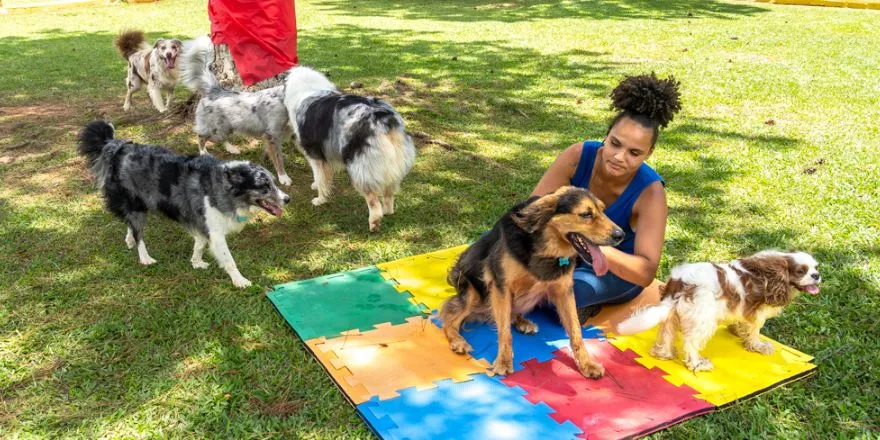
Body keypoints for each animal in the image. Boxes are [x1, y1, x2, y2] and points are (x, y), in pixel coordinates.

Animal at [76, 120, 288, 288]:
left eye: (274, 182)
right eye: (263, 186)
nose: (287, 199)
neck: (225, 187)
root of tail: (118, 146)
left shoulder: (202, 224)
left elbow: (200, 245)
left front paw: (196, 262)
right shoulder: (215, 231)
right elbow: (229, 260)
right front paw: (240, 280)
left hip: (138, 205)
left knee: (129, 223)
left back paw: (129, 240)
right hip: (135, 204)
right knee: (138, 232)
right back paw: (144, 257)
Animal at [179, 35, 292, 184]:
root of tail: (215, 90)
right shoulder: (272, 135)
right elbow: (279, 158)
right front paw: (283, 177)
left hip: (226, 127)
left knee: (220, 138)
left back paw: (231, 148)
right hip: (216, 129)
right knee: (201, 137)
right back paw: (204, 152)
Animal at [284, 66, 418, 230]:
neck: (308, 88)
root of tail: (384, 119)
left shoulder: (314, 153)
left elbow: (319, 176)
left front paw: (320, 199)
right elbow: (322, 176)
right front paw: (316, 186)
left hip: (362, 167)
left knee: (373, 201)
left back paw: (374, 222)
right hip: (392, 164)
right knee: (388, 193)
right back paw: (388, 211)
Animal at [440, 186, 624, 378]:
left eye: (603, 210)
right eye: (586, 214)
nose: (621, 235)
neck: (544, 247)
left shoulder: (564, 291)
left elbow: (576, 331)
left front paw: (587, 364)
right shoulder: (501, 286)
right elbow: (504, 331)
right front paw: (504, 361)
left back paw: (523, 322)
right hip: (473, 293)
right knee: (449, 319)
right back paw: (458, 341)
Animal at [616, 251, 820, 372]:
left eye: (815, 268)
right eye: (801, 271)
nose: (817, 275)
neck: (774, 271)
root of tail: (680, 283)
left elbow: (743, 323)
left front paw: (737, 331)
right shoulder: (757, 313)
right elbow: (755, 331)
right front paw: (758, 346)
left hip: (673, 314)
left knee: (667, 332)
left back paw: (664, 353)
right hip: (704, 319)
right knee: (690, 343)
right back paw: (697, 364)